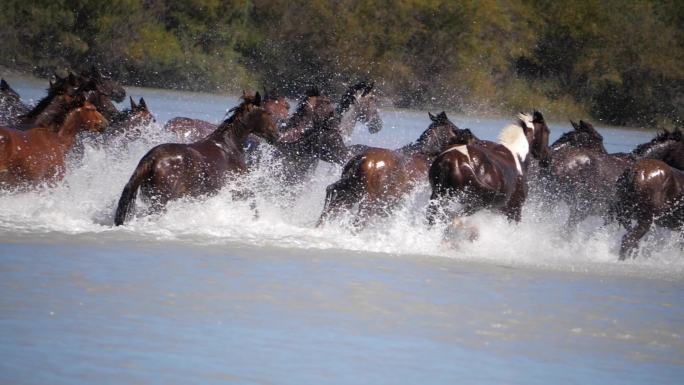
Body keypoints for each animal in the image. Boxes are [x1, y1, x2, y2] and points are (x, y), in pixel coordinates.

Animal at [115, 92, 278, 225]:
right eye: (268, 113)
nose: (276, 136)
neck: (228, 145)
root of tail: (151, 159)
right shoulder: (238, 188)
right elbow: (253, 204)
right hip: (160, 201)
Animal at [316, 111, 472, 226]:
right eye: (455, 129)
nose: (469, 135)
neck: (424, 155)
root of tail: (361, 160)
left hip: (349, 194)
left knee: (330, 198)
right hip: (367, 202)